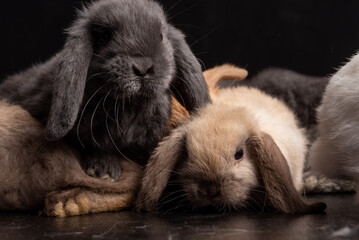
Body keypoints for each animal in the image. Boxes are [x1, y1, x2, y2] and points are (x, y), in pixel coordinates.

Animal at [0, 0, 211, 180]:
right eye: (105, 37)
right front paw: (103, 171)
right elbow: (95, 146)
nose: (143, 67)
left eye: (161, 36)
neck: (129, 105)